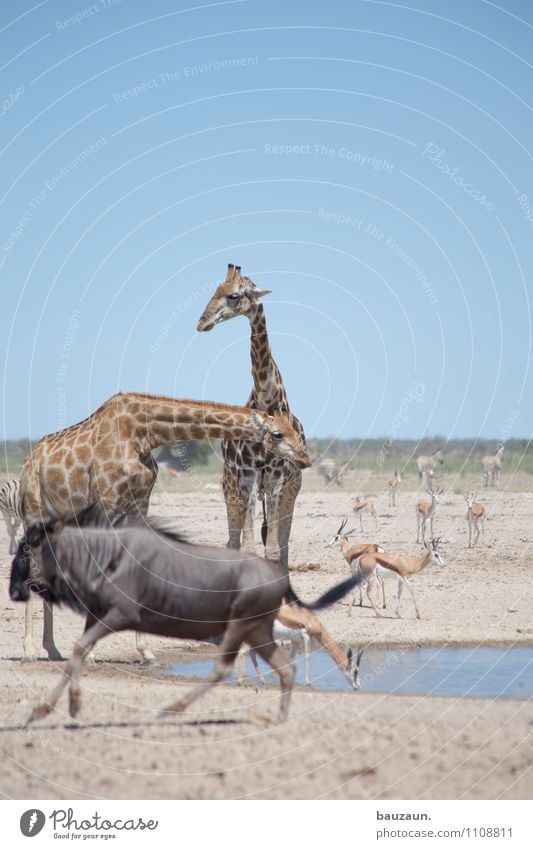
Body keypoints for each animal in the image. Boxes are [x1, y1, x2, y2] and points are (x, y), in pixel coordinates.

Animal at [18, 390, 310, 664]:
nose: (305, 458)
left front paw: (146, 651)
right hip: (33, 511)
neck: (144, 433)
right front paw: (90, 653)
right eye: (277, 434)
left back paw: (52, 649)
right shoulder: (107, 500)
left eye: (295, 429)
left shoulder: (139, 502)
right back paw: (30, 651)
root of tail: (28, 464)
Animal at [196, 262, 306, 572]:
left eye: (234, 295)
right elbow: (248, 548)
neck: (268, 399)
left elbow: (274, 550)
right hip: (230, 483)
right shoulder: (245, 473)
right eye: (214, 291)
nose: (201, 322)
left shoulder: (278, 476)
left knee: (283, 541)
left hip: (290, 486)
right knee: (233, 542)